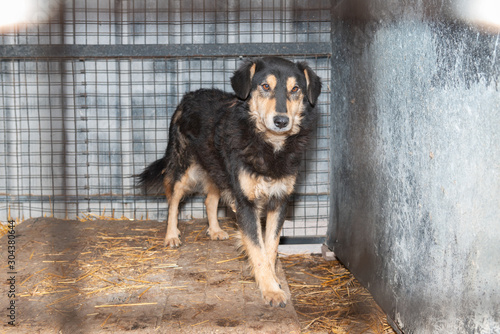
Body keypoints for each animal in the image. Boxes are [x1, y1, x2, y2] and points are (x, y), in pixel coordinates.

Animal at [138, 56, 320, 306]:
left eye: (295, 89)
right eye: (265, 86)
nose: (282, 121)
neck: (269, 145)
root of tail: (188, 96)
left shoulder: (279, 200)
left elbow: (271, 247)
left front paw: (273, 280)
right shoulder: (245, 203)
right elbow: (257, 249)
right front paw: (270, 289)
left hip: (217, 170)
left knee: (209, 199)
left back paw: (214, 229)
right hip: (183, 169)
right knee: (172, 200)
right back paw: (172, 235)